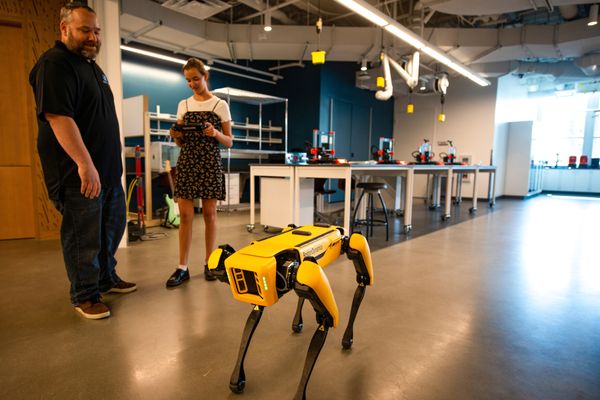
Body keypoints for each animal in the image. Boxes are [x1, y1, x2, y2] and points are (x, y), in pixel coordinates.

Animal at [209, 223, 372, 398]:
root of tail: (335, 227)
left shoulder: (307, 273)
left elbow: (326, 319)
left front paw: (300, 393)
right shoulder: (288, 287)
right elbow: (254, 316)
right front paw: (237, 378)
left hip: (345, 248)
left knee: (362, 278)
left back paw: (346, 337)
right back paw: (297, 323)